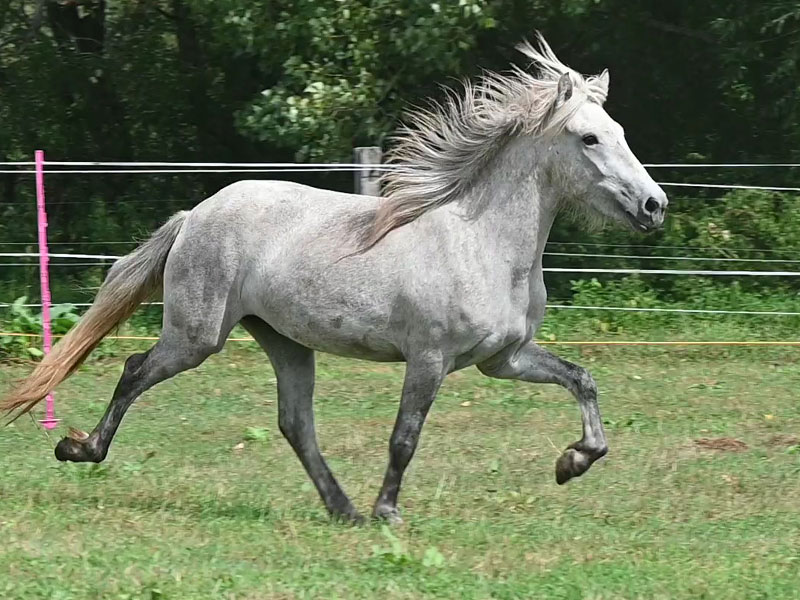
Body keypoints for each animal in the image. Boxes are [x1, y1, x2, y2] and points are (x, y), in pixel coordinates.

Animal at [1, 34, 667, 524]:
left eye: (622, 133)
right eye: (589, 137)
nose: (654, 206)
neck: (481, 242)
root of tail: (197, 213)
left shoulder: (504, 359)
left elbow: (582, 380)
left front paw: (573, 462)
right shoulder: (429, 358)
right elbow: (405, 437)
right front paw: (390, 512)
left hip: (283, 340)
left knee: (295, 424)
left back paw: (341, 507)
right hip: (196, 335)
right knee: (137, 370)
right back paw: (80, 448)